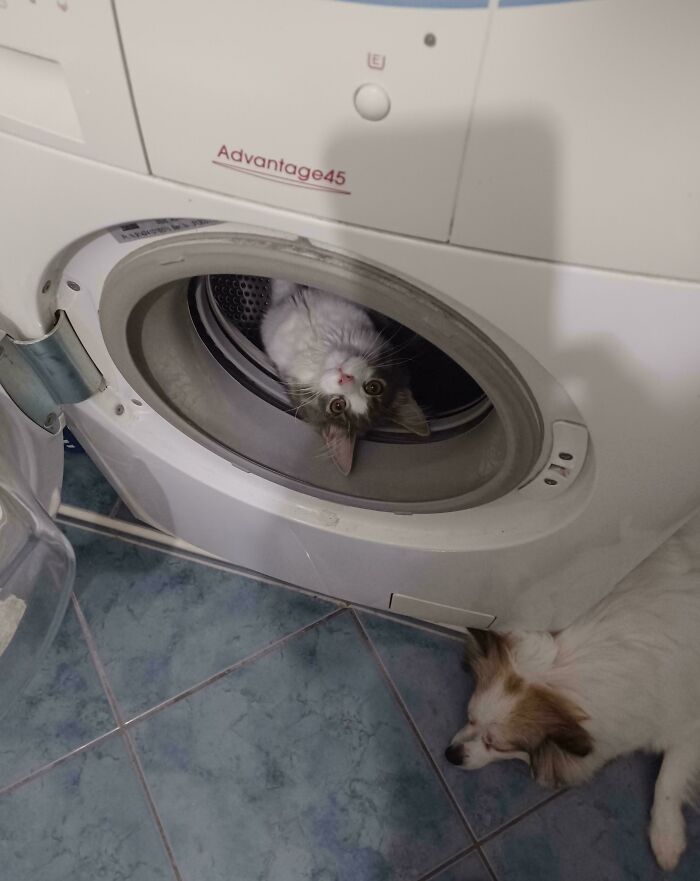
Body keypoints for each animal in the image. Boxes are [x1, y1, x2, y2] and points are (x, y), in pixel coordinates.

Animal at [446, 512, 700, 868]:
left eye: (498, 745)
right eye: (469, 718)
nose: (450, 755)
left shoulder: (687, 721)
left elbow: (668, 778)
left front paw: (666, 839)